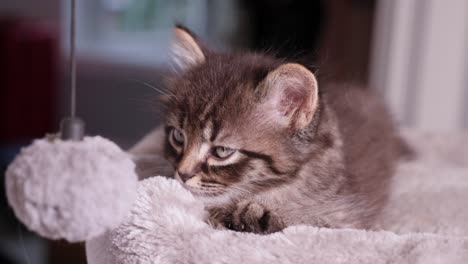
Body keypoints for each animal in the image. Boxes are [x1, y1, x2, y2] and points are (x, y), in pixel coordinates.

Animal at [158, 25, 406, 234]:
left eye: (222, 151)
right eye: (178, 137)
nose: (182, 174)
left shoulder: (347, 218)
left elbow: (306, 220)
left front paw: (248, 214)